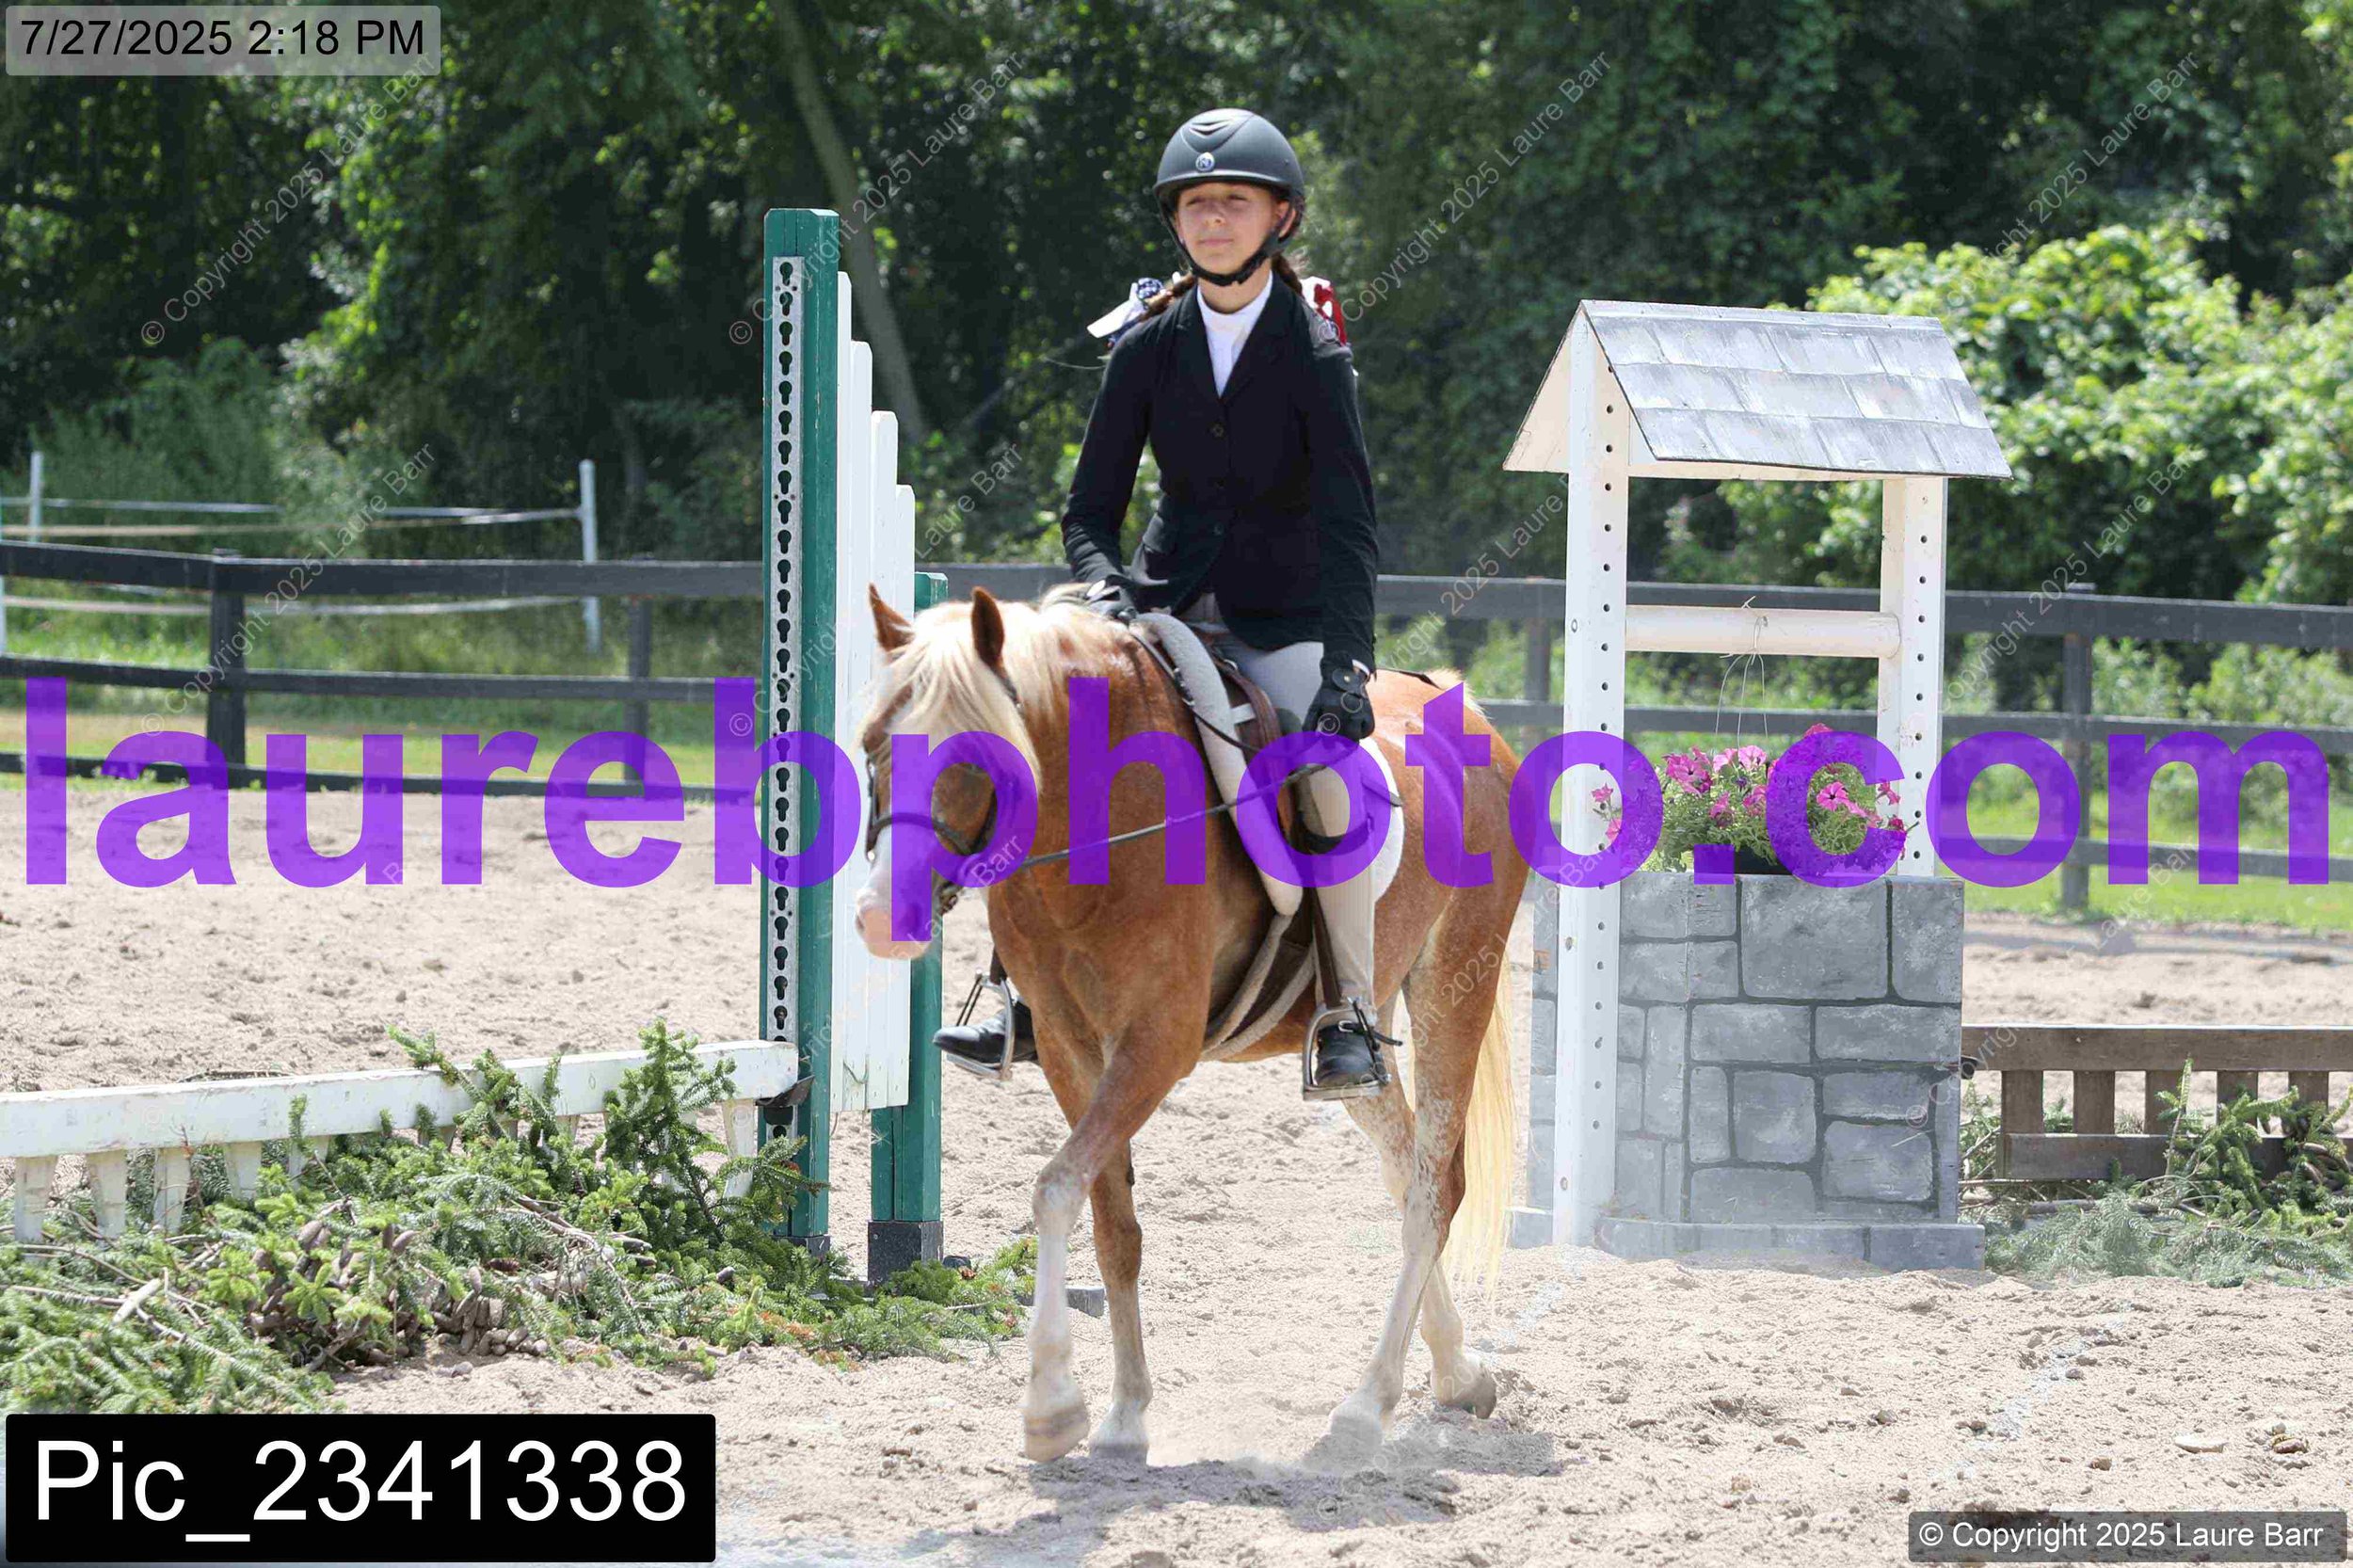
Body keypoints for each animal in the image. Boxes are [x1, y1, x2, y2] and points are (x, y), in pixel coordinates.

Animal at [850, 584, 1528, 1465]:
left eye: (979, 755)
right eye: (872, 743)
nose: (880, 920)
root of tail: (1466, 707)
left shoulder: (1155, 1047)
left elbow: (1055, 1190)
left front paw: (1052, 1406)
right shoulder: (1070, 1048)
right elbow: (1112, 1222)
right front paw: (1124, 1414)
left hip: (1455, 981)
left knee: (1432, 1189)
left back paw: (1366, 1406)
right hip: (1363, 1028)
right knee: (1405, 1163)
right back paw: (1458, 1374)